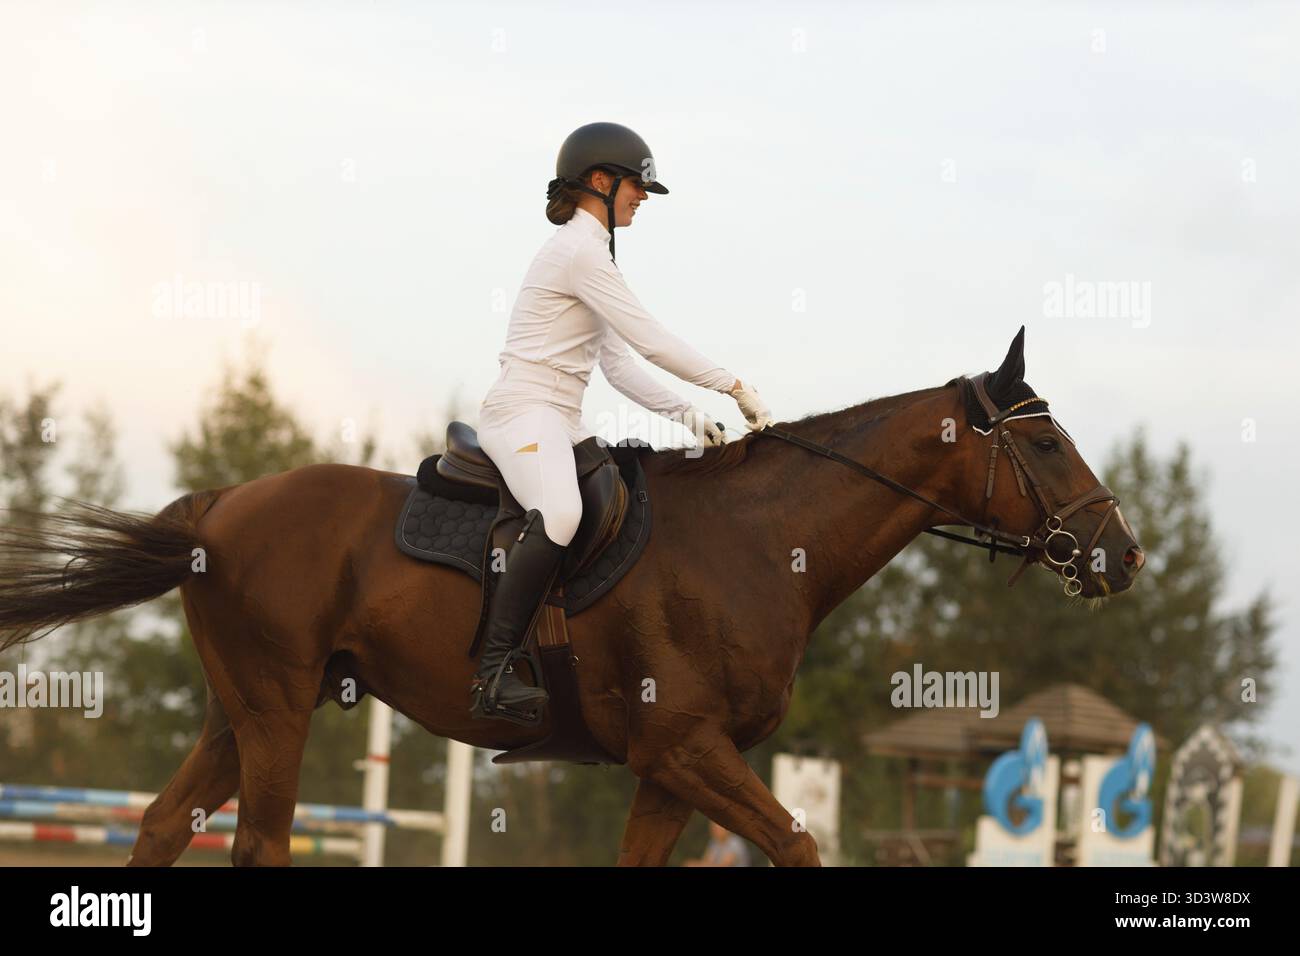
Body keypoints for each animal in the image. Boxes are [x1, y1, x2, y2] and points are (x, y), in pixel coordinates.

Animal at [0, 329, 1143, 866]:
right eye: (1045, 442)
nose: (1122, 553)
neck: (761, 542)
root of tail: (222, 504)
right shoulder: (688, 747)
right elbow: (800, 842)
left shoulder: (672, 767)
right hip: (277, 708)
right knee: (257, 840)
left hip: (241, 710)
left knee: (162, 824)